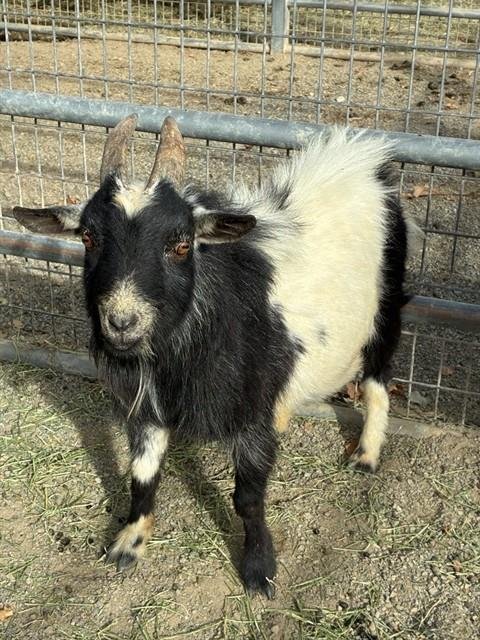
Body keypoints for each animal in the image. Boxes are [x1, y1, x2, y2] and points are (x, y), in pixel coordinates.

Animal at [13, 115, 419, 598]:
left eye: (182, 243)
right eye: (89, 237)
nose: (122, 323)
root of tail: (363, 156)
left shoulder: (252, 414)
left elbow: (248, 497)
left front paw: (260, 569)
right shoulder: (147, 407)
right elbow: (142, 475)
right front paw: (129, 543)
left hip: (385, 312)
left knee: (378, 384)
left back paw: (366, 456)